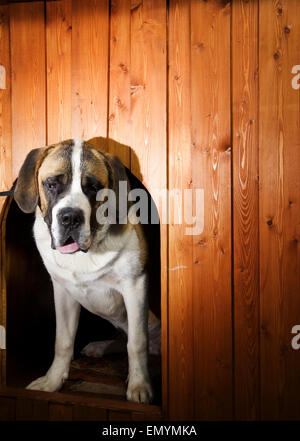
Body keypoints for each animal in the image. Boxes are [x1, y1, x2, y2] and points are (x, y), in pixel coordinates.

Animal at [12, 138, 161, 402]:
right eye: (52, 184)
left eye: (93, 187)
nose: (70, 217)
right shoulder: (63, 291)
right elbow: (62, 341)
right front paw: (52, 382)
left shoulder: (135, 287)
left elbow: (137, 342)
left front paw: (140, 386)